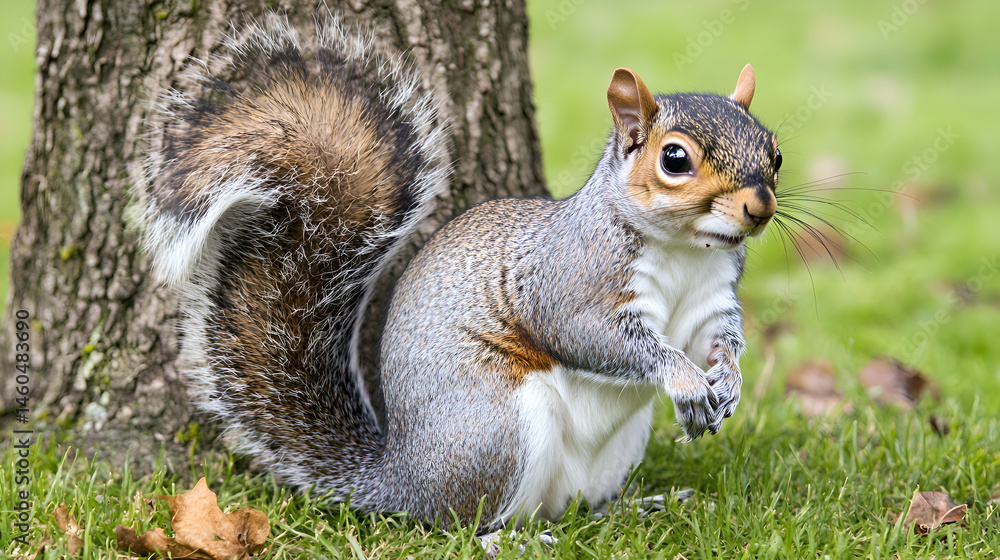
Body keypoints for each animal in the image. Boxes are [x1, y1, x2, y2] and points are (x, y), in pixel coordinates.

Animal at [137, 14, 780, 531]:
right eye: (674, 159)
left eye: (773, 151)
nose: (760, 206)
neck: (686, 250)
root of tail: (400, 480)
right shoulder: (568, 278)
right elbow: (592, 335)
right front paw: (686, 380)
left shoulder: (712, 297)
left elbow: (716, 337)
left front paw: (727, 379)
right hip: (496, 429)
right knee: (468, 523)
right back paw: (513, 539)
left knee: (573, 507)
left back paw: (630, 508)